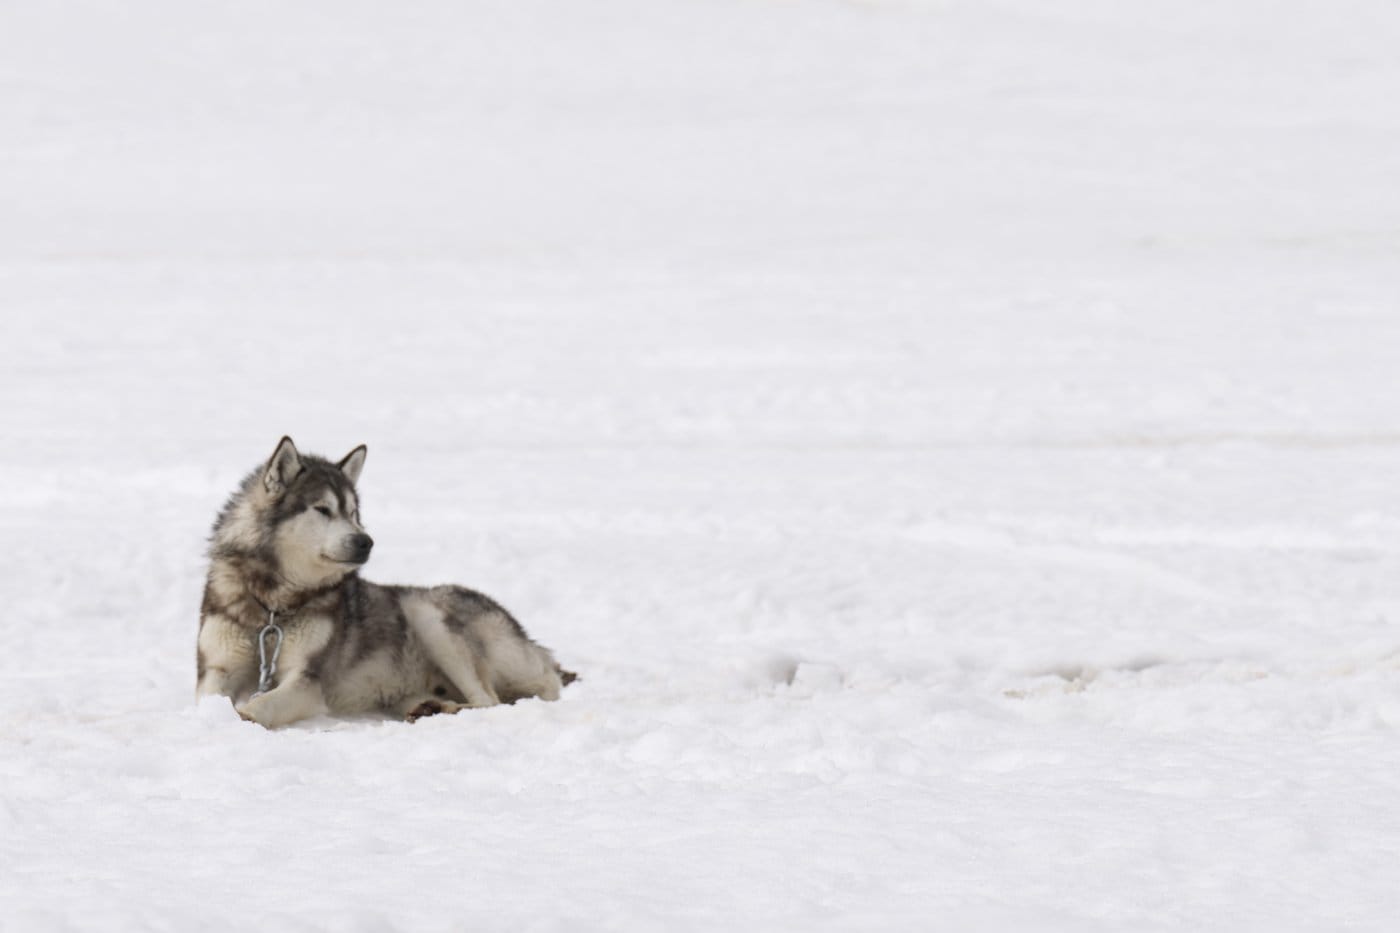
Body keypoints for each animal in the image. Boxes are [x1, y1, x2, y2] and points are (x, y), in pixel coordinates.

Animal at [194, 437, 571, 728]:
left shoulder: (307, 680)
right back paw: (430, 706)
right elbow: (207, 699)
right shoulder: (216, 669)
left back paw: (441, 709)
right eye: (322, 509)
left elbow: (262, 703)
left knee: (489, 700)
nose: (366, 541)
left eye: (353, 513)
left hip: (427, 612)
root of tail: (534, 645)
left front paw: (242, 716)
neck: (273, 605)